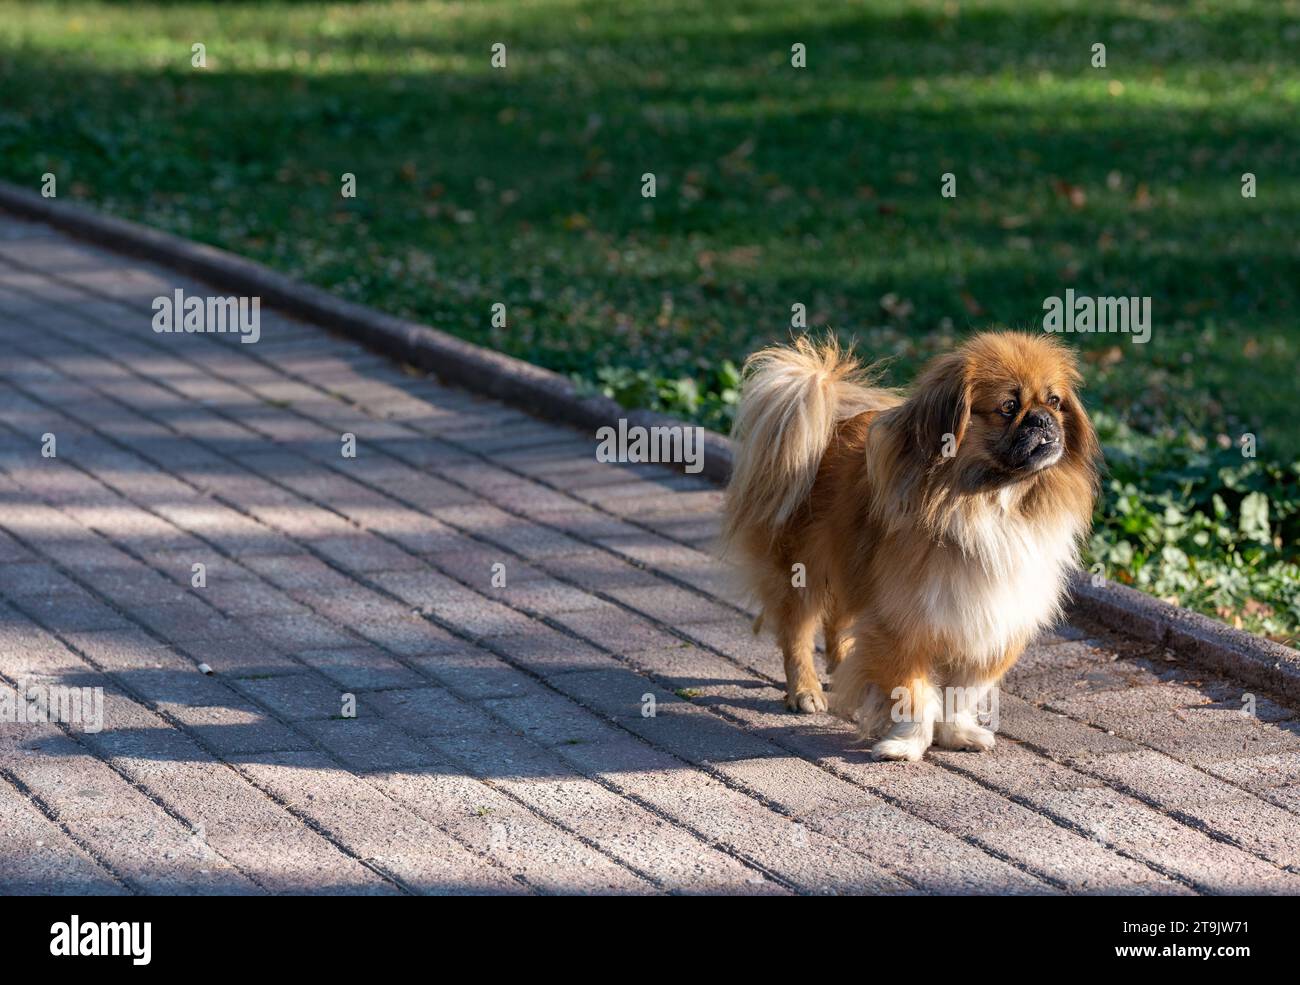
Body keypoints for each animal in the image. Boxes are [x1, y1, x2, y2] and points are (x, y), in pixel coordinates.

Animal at [722, 331, 1097, 764]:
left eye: (1054, 401)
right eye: (1008, 407)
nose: (1042, 419)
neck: (990, 499)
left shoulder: (993, 619)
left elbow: (961, 693)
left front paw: (956, 734)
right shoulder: (903, 619)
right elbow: (913, 691)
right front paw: (906, 744)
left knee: (838, 622)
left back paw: (843, 666)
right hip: (802, 569)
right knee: (796, 631)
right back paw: (805, 691)